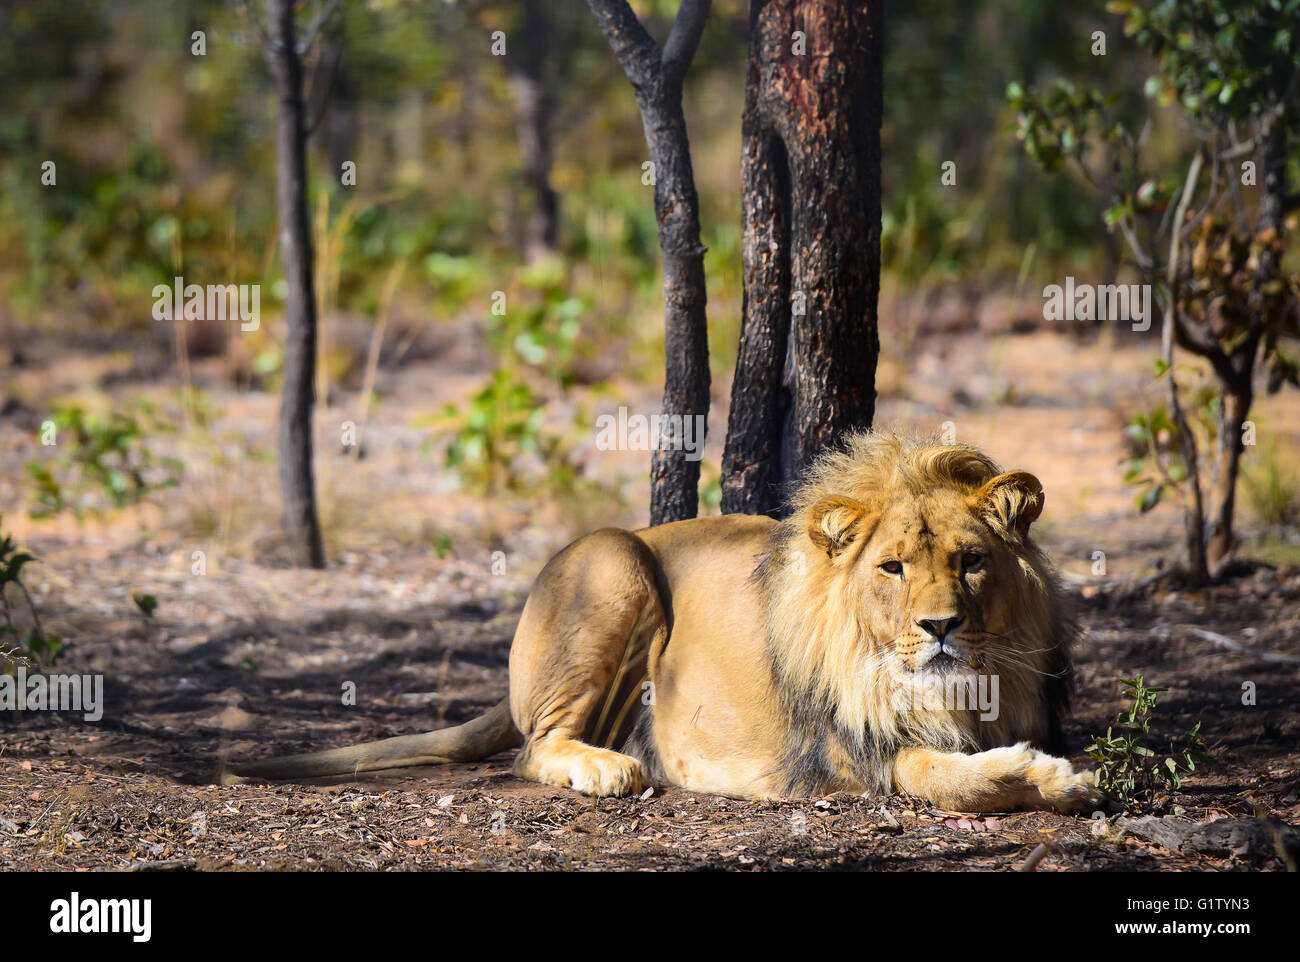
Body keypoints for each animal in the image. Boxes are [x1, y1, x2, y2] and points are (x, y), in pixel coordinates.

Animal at [226, 431, 1107, 816]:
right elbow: (947, 775)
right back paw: (608, 768)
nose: (940, 627)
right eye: (892, 569)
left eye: (971, 562)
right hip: (615, 561)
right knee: (531, 748)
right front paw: (1054, 780)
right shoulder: (851, 754)